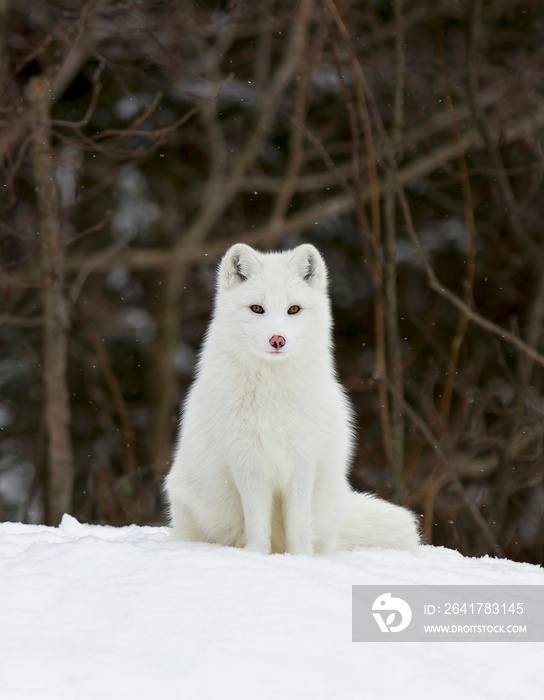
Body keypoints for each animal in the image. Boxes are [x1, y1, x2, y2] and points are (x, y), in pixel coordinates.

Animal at [166, 243, 420, 556]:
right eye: (257, 308)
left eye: (294, 309)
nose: (278, 340)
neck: (273, 394)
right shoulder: (248, 464)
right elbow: (257, 522)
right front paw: (256, 555)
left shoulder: (303, 462)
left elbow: (298, 527)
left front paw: (300, 558)